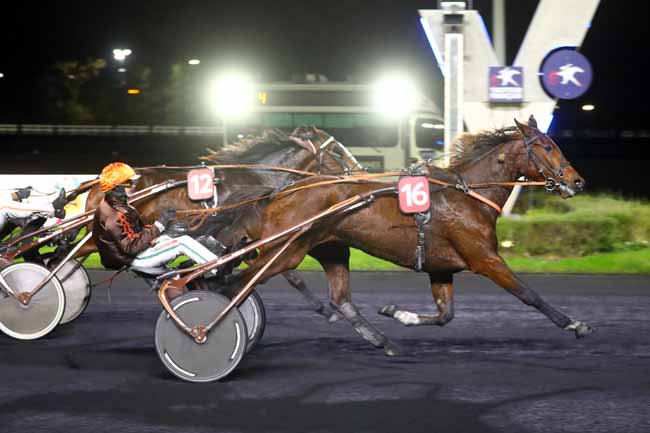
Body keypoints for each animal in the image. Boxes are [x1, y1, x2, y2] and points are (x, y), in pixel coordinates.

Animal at [225, 115, 588, 354]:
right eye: (546, 146)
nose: (577, 181)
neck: (468, 194)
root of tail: (282, 190)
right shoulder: (484, 257)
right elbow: (529, 295)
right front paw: (574, 324)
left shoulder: (441, 267)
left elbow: (445, 315)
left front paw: (396, 312)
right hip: (284, 251)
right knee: (239, 283)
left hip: (330, 249)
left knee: (340, 300)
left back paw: (383, 341)